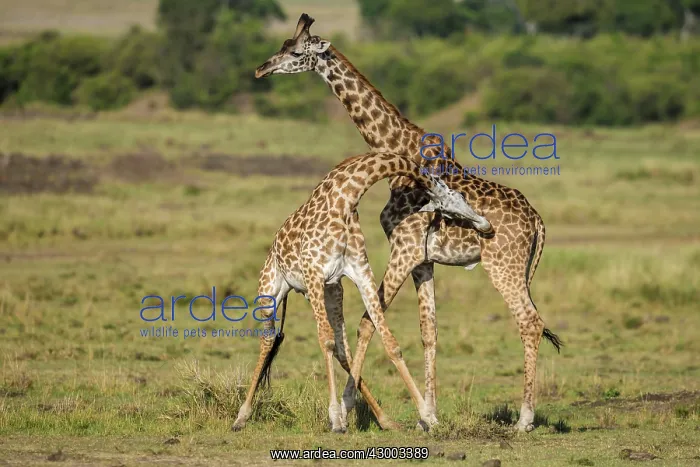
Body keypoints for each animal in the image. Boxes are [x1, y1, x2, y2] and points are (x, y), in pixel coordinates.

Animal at [231, 151, 492, 433]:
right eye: (454, 203)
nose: (486, 225)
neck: (344, 202)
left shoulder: (361, 274)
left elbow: (389, 342)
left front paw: (428, 416)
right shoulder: (314, 274)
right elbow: (325, 340)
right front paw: (335, 418)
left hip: (333, 291)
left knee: (343, 349)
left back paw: (385, 419)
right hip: (271, 291)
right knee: (269, 340)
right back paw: (241, 417)